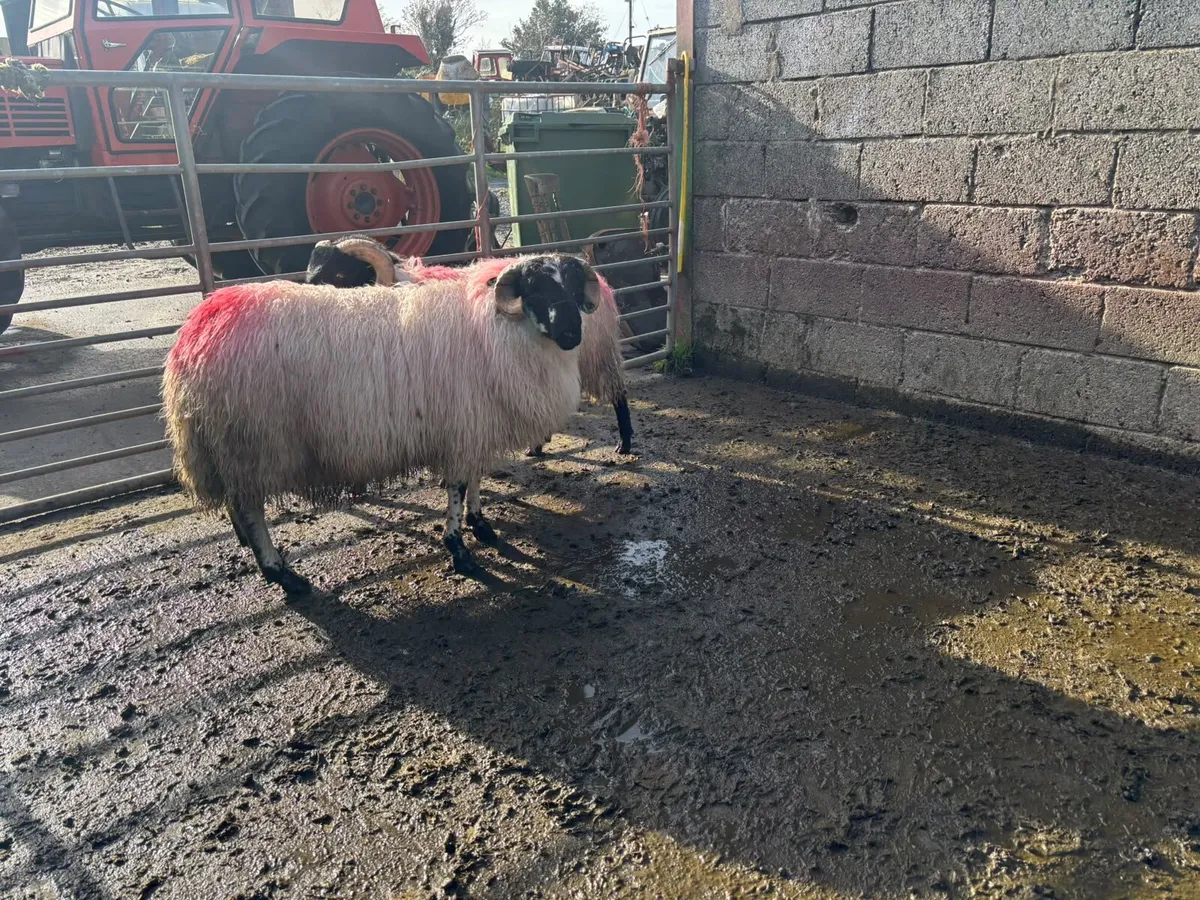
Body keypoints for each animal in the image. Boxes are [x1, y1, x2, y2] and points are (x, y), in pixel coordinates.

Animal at [162, 254, 602, 593]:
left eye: (573, 286)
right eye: (536, 288)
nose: (571, 334)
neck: (494, 328)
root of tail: (198, 328)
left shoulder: (471, 425)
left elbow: (475, 478)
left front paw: (481, 525)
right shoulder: (460, 424)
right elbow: (458, 487)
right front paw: (460, 551)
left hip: (230, 447)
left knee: (238, 504)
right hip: (250, 443)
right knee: (251, 509)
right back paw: (282, 574)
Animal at [305, 236, 634, 456]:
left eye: (339, 274)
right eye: (311, 274)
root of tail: (601, 279)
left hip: (598, 352)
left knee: (619, 394)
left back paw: (624, 443)